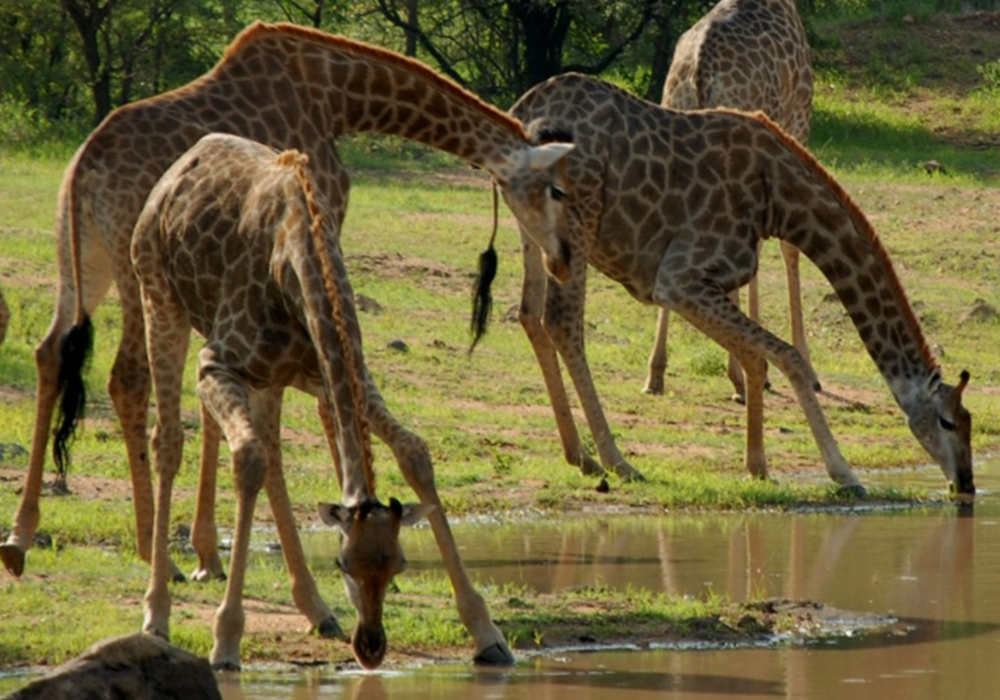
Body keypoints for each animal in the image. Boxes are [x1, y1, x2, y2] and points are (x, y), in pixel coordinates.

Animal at [131, 134, 432, 668]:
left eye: (398, 564)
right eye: (342, 564)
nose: (371, 647)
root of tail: (181, 164)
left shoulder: (334, 376)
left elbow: (414, 450)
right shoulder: (216, 364)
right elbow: (247, 459)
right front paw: (226, 639)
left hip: (268, 381)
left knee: (272, 455)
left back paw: (318, 611)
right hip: (158, 296)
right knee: (168, 440)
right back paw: (157, 612)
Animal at [504, 74, 972, 494]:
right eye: (948, 420)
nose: (966, 484)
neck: (780, 202)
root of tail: (524, 112)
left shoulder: (702, 283)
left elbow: (755, 358)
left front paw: (758, 466)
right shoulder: (680, 279)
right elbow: (788, 357)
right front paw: (844, 474)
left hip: (535, 230)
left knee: (530, 316)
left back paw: (580, 456)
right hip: (577, 224)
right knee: (562, 322)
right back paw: (618, 462)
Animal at [644, 0, 816, 396]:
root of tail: (699, 72)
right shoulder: (795, 123)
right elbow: (787, 247)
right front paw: (801, 366)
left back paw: (656, 373)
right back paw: (742, 374)